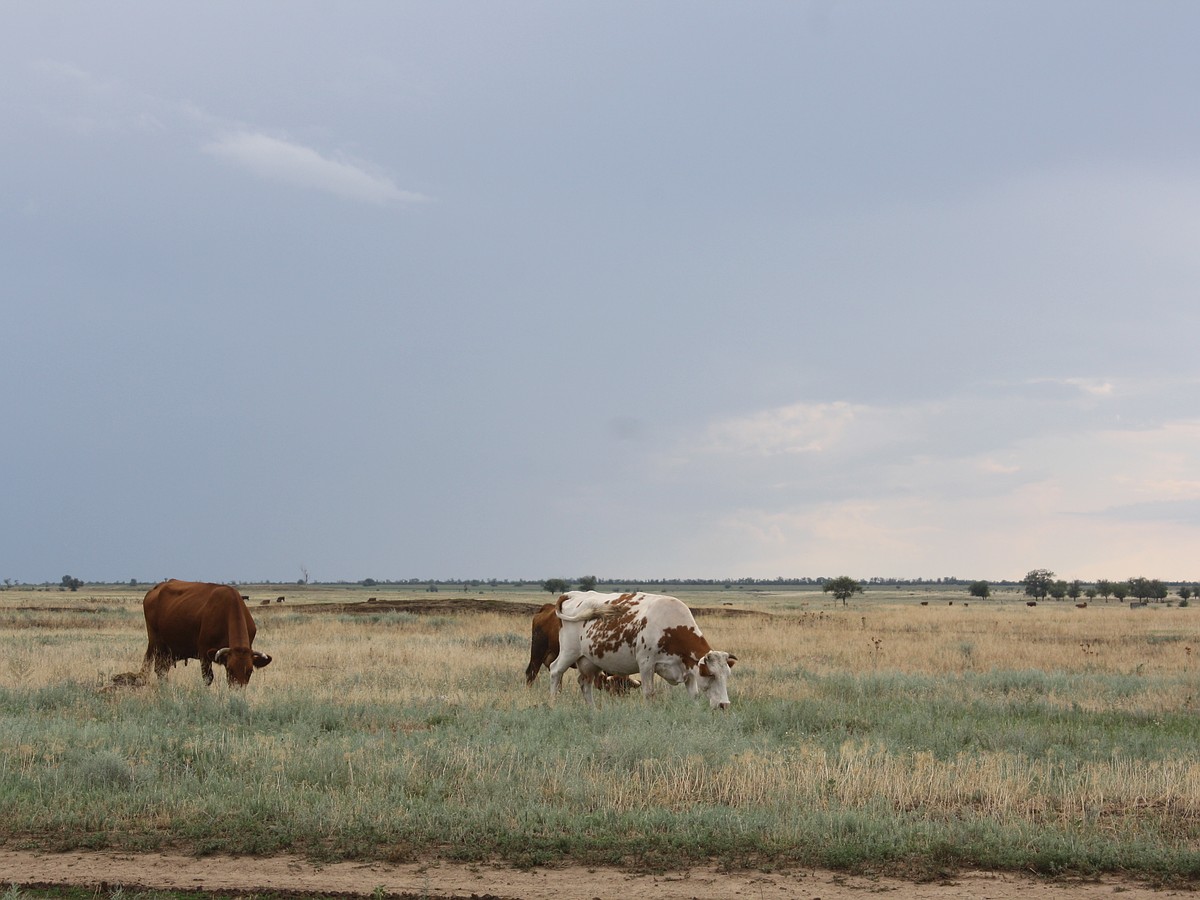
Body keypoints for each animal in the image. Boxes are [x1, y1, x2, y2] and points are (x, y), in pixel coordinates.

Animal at [139, 580, 273, 686]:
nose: (237, 690)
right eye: (230, 669)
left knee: (162, 670)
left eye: (250, 671)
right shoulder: (204, 653)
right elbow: (208, 678)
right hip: (156, 644)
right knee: (154, 668)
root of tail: (156, 588)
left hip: (168, 651)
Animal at [549, 592, 734, 710]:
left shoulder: (688, 668)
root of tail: (573, 594)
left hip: (590, 661)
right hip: (569, 652)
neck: (669, 626)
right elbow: (649, 693)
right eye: (711, 675)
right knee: (555, 671)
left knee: (584, 683)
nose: (724, 705)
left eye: (727, 676)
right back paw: (553, 705)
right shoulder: (646, 664)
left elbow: (694, 695)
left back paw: (592, 710)